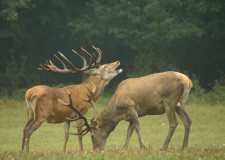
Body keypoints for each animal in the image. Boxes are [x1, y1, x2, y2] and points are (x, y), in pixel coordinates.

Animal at [62, 71, 192, 151]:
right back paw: (184, 147)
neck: (118, 111)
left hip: (169, 102)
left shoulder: (131, 107)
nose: (96, 149)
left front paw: (143, 147)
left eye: (92, 135)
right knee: (188, 121)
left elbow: (137, 127)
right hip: (180, 104)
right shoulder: (132, 114)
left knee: (174, 123)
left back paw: (164, 147)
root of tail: (188, 81)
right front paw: (124, 148)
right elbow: (130, 130)